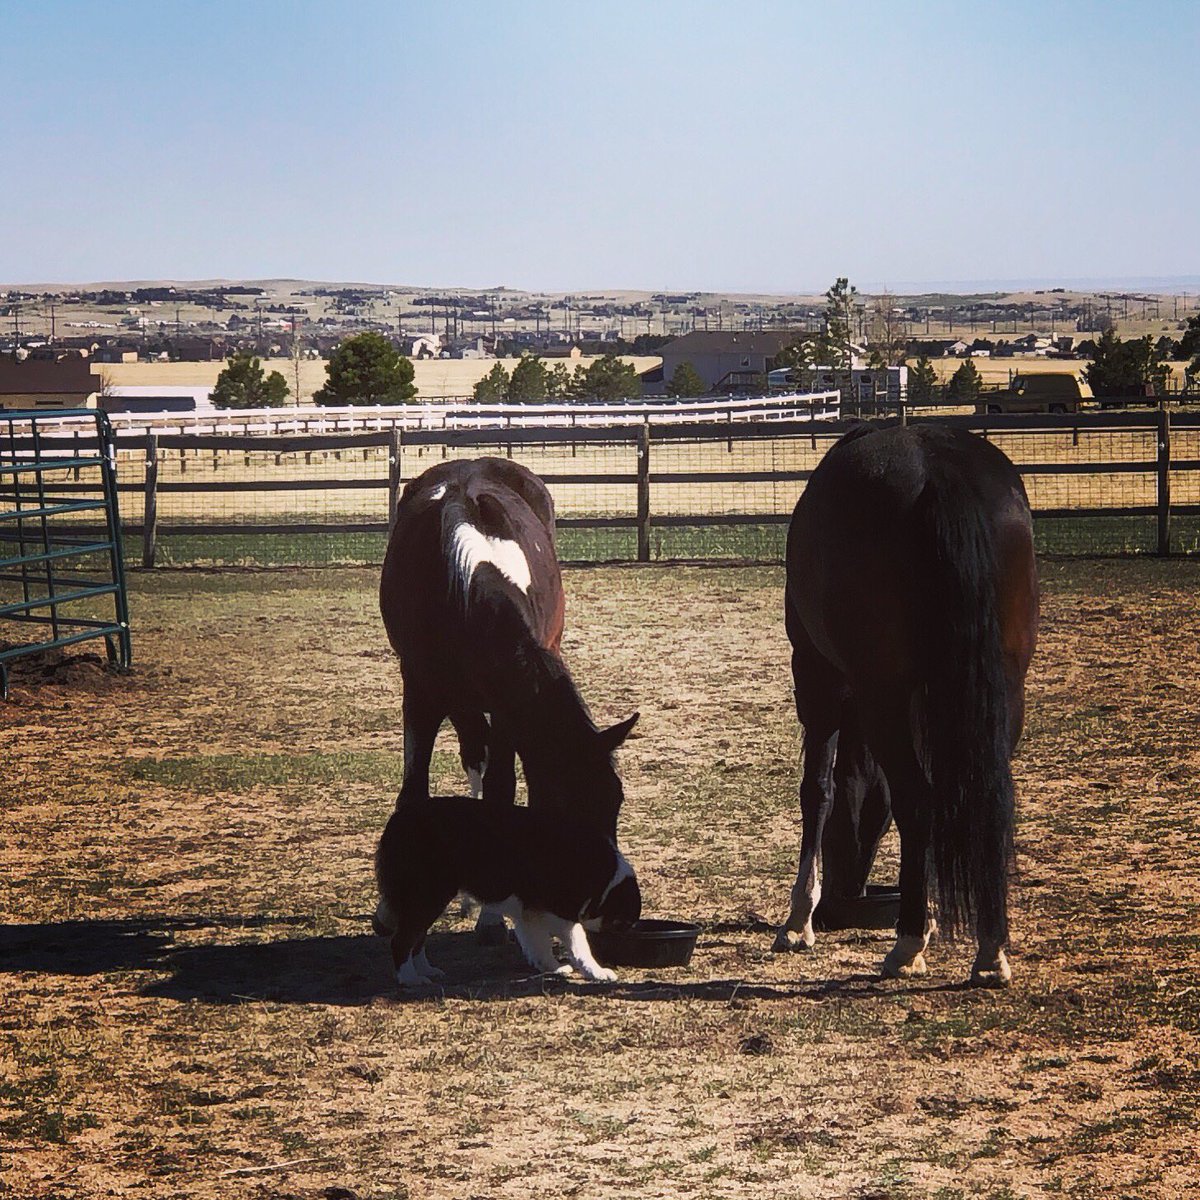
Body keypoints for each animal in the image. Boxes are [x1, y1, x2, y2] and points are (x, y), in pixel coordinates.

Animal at [374, 796, 643, 984]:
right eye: (621, 924)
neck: (602, 875)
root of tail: (398, 819)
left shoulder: (530, 911)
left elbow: (538, 943)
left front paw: (551, 967)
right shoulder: (559, 913)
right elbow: (579, 944)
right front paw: (596, 971)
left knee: (416, 937)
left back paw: (426, 970)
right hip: (430, 895)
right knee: (402, 939)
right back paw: (410, 978)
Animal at [772, 422, 1036, 984]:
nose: (846, 894)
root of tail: (939, 470)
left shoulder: (816, 675)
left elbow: (818, 788)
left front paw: (799, 918)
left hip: (882, 696)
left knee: (918, 799)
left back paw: (908, 942)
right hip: (1005, 692)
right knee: (989, 799)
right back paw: (990, 947)